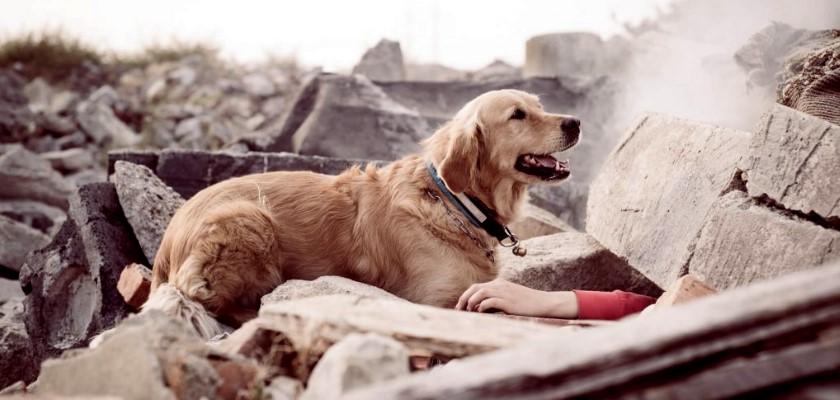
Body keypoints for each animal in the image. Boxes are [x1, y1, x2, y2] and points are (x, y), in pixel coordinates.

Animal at [141, 90, 580, 338]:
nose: (575, 122)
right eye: (517, 114)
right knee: (209, 299)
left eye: (539, 106)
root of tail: (166, 247)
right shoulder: (432, 300)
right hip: (249, 218)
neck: (456, 203)